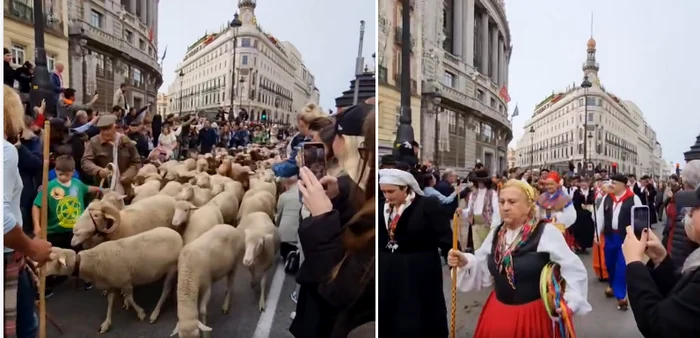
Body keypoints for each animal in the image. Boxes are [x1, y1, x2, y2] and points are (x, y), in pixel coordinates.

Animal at [45, 227, 183, 332]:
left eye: (51, 260)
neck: (90, 263)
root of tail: (177, 234)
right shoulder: (111, 285)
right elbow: (110, 303)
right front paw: (106, 324)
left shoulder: (125, 281)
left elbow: (130, 298)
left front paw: (141, 313)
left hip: (172, 268)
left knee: (166, 290)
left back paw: (155, 313)